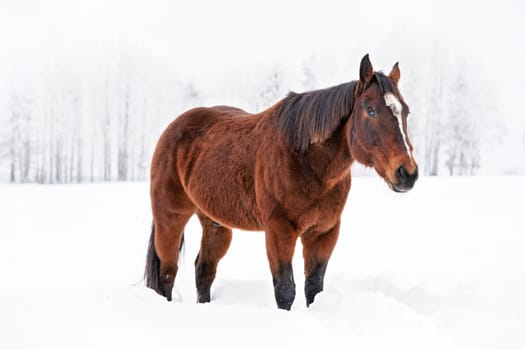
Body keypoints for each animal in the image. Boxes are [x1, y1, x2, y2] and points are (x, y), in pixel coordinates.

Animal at [143, 54, 418, 308]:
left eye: (406, 111)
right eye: (371, 111)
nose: (407, 173)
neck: (306, 161)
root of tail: (173, 128)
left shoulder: (324, 232)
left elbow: (313, 288)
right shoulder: (279, 230)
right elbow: (285, 290)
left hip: (214, 223)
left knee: (204, 271)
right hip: (171, 218)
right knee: (167, 274)